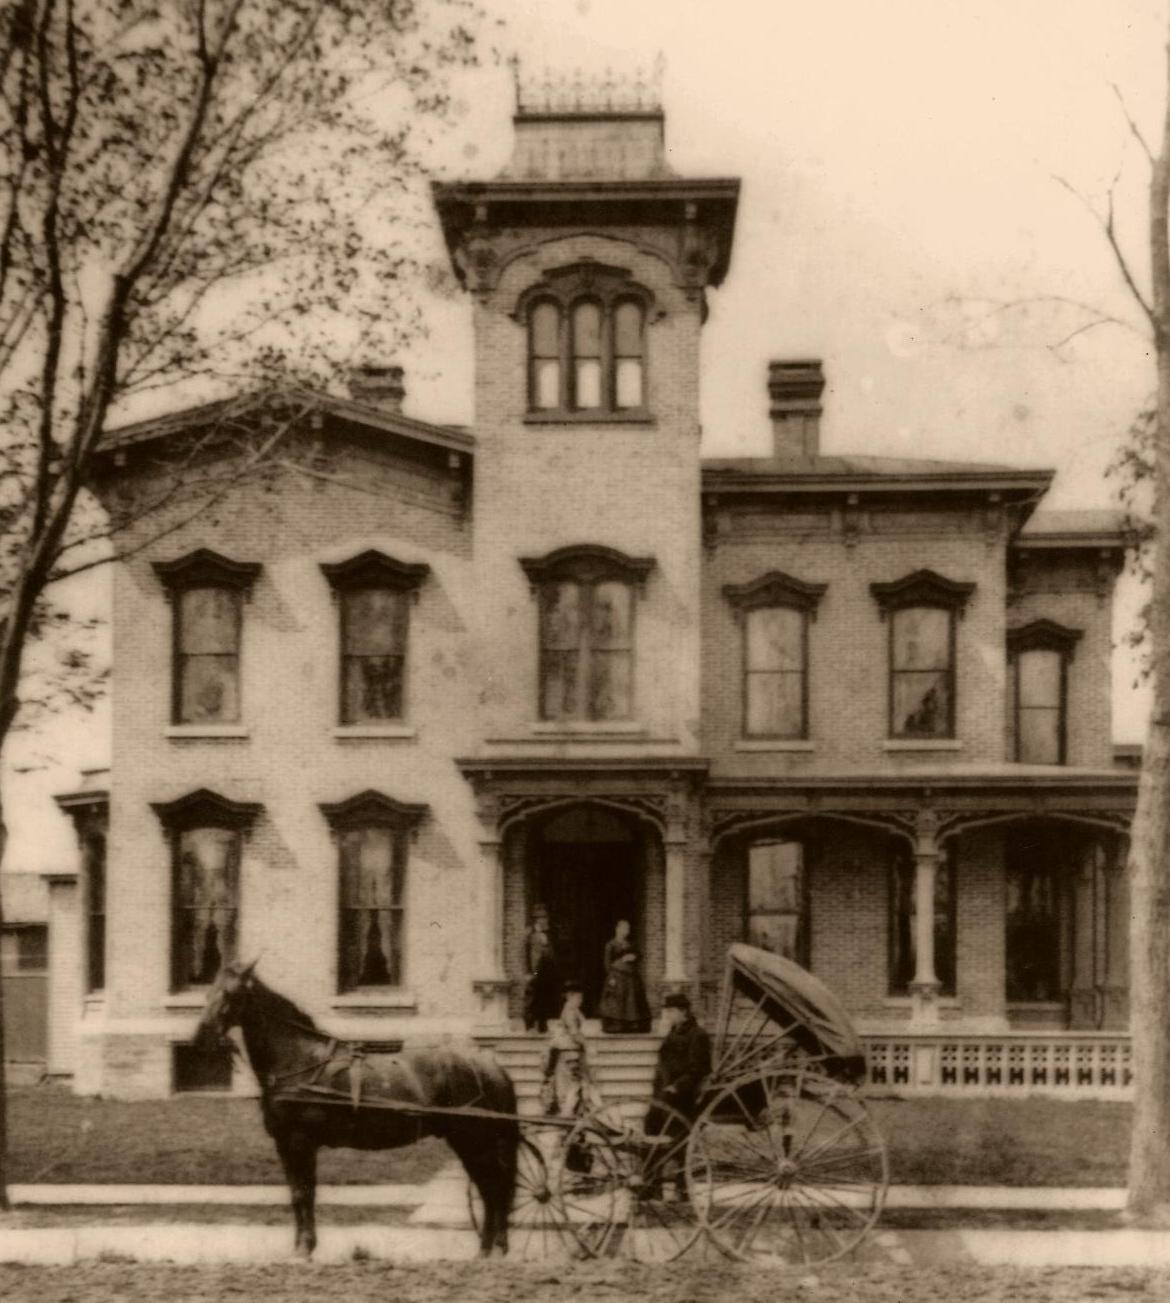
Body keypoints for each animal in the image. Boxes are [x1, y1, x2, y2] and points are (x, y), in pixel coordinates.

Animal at [194, 964, 518, 1256]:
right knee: (491, 1188)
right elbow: (297, 1194)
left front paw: (305, 1247)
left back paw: (492, 1249)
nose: (201, 1038)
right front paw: (299, 1246)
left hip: (473, 1140)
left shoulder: (301, 1142)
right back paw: (489, 1248)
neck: (299, 1061)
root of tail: (489, 1065)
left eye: (232, 993)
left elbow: (305, 1192)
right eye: (208, 991)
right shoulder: (284, 1144)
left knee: (494, 1188)